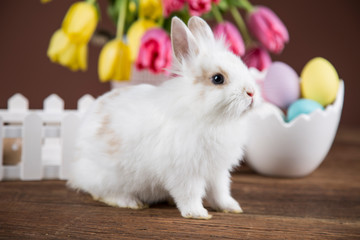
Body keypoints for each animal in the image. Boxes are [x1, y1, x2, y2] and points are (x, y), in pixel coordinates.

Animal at [67, 16, 260, 219]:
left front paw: (231, 207)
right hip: (107, 177)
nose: (251, 93)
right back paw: (131, 203)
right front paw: (197, 213)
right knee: (101, 192)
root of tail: (76, 166)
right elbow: (190, 193)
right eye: (217, 79)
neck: (210, 117)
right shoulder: (185, 172)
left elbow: (220, 192)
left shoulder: (217, 171)